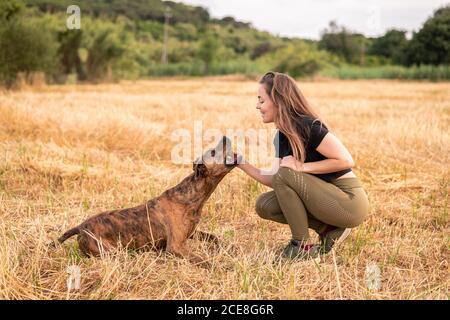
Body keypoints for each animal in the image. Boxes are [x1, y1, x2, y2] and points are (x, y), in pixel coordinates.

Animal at [55, 137, 239, 264]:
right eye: (213, 152)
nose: (224, 136)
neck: (191, 196)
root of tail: (80, 227)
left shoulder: (191, 232)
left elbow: (213, 237)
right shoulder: (175, 246)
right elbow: (202, 260)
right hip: (111, 252)